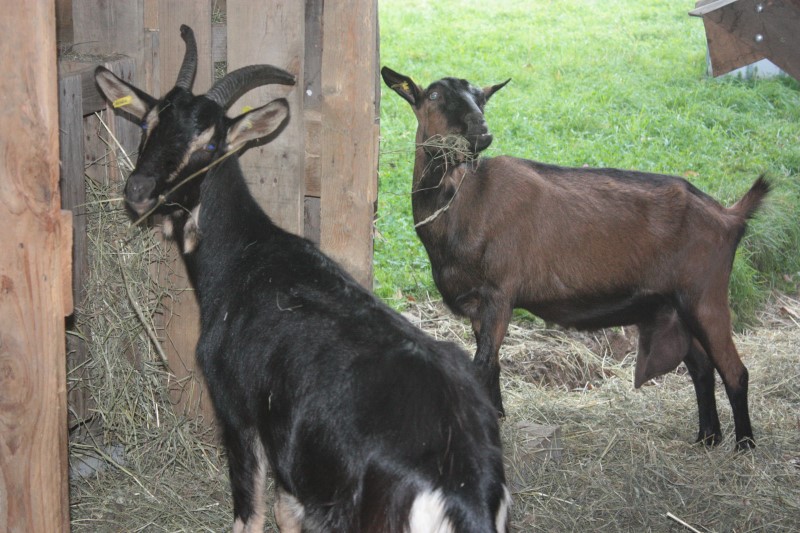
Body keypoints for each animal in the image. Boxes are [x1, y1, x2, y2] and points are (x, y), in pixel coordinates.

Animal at [95, 27, 510, 532]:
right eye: (148, 122)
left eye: (210, 145)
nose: (138, 190)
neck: (244, 258)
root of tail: (459, 486)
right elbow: (285, 511)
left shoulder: (238, 412)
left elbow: (250, 516)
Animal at [381, 66, 769, 450]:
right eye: (433, 95)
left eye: (481, 98)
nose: (480, 130)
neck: (466, 201)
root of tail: (729, 215)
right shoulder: (479, 305)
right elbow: (492, 367)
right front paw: (497, 417)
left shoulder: (500, 293)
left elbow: (483, 366)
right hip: (676, 305)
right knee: (703, 368)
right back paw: (707, 438)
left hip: (705, 296)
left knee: (734, 370)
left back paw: (744, 446)